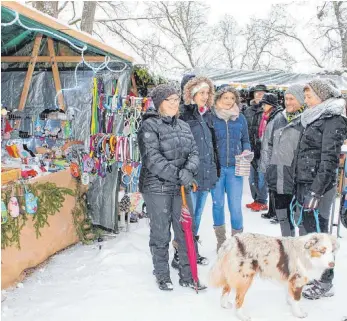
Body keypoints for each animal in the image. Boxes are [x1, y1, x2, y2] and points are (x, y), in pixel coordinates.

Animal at [209, 232, 340, 320]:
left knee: (225, 289)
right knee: (238, 299)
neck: (306, 253)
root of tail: (232, 240)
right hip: (245, 278)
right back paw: (242, 316)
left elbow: (290, 297)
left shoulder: (290, 281)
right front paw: (298, 314)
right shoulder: (297, 281)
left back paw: (224, 305)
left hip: (234, 274)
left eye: (332, 251)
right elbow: (297, 300)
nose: (332, 264)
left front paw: (290, 304)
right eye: (322, 250)